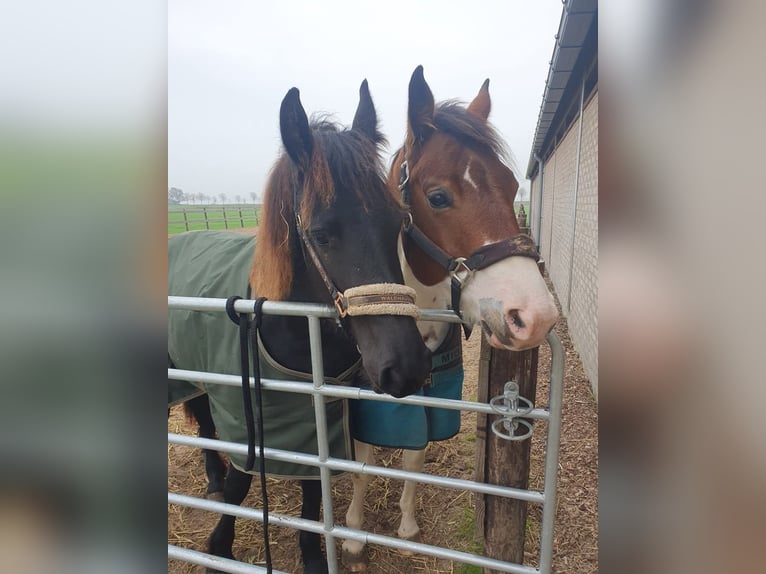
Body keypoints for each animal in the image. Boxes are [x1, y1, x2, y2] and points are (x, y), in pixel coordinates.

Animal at [344, 67, 560, 572]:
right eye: (438, 196)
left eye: (512, 186)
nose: (535, 316)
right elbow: (360, 464)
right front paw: (355, 535)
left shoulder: (426, 395)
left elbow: (413, 459)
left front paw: (406, 530)